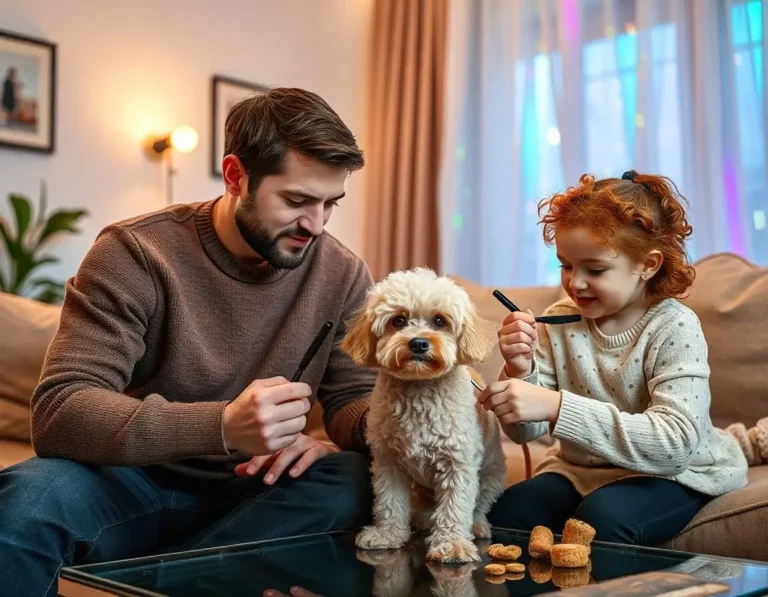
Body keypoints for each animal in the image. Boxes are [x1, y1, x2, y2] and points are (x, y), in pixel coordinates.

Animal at [340, 266, 508, 564]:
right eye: (398, 320)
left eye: (439, 321)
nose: (418, 343)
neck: (419, 390)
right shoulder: (388, 462)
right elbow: (389, 503)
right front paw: (388, 535)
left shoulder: (458, 464)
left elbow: (455, 507)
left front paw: (452, 544)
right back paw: (419, 520)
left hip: (491, 475)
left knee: (477, 507)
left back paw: (476, 526)